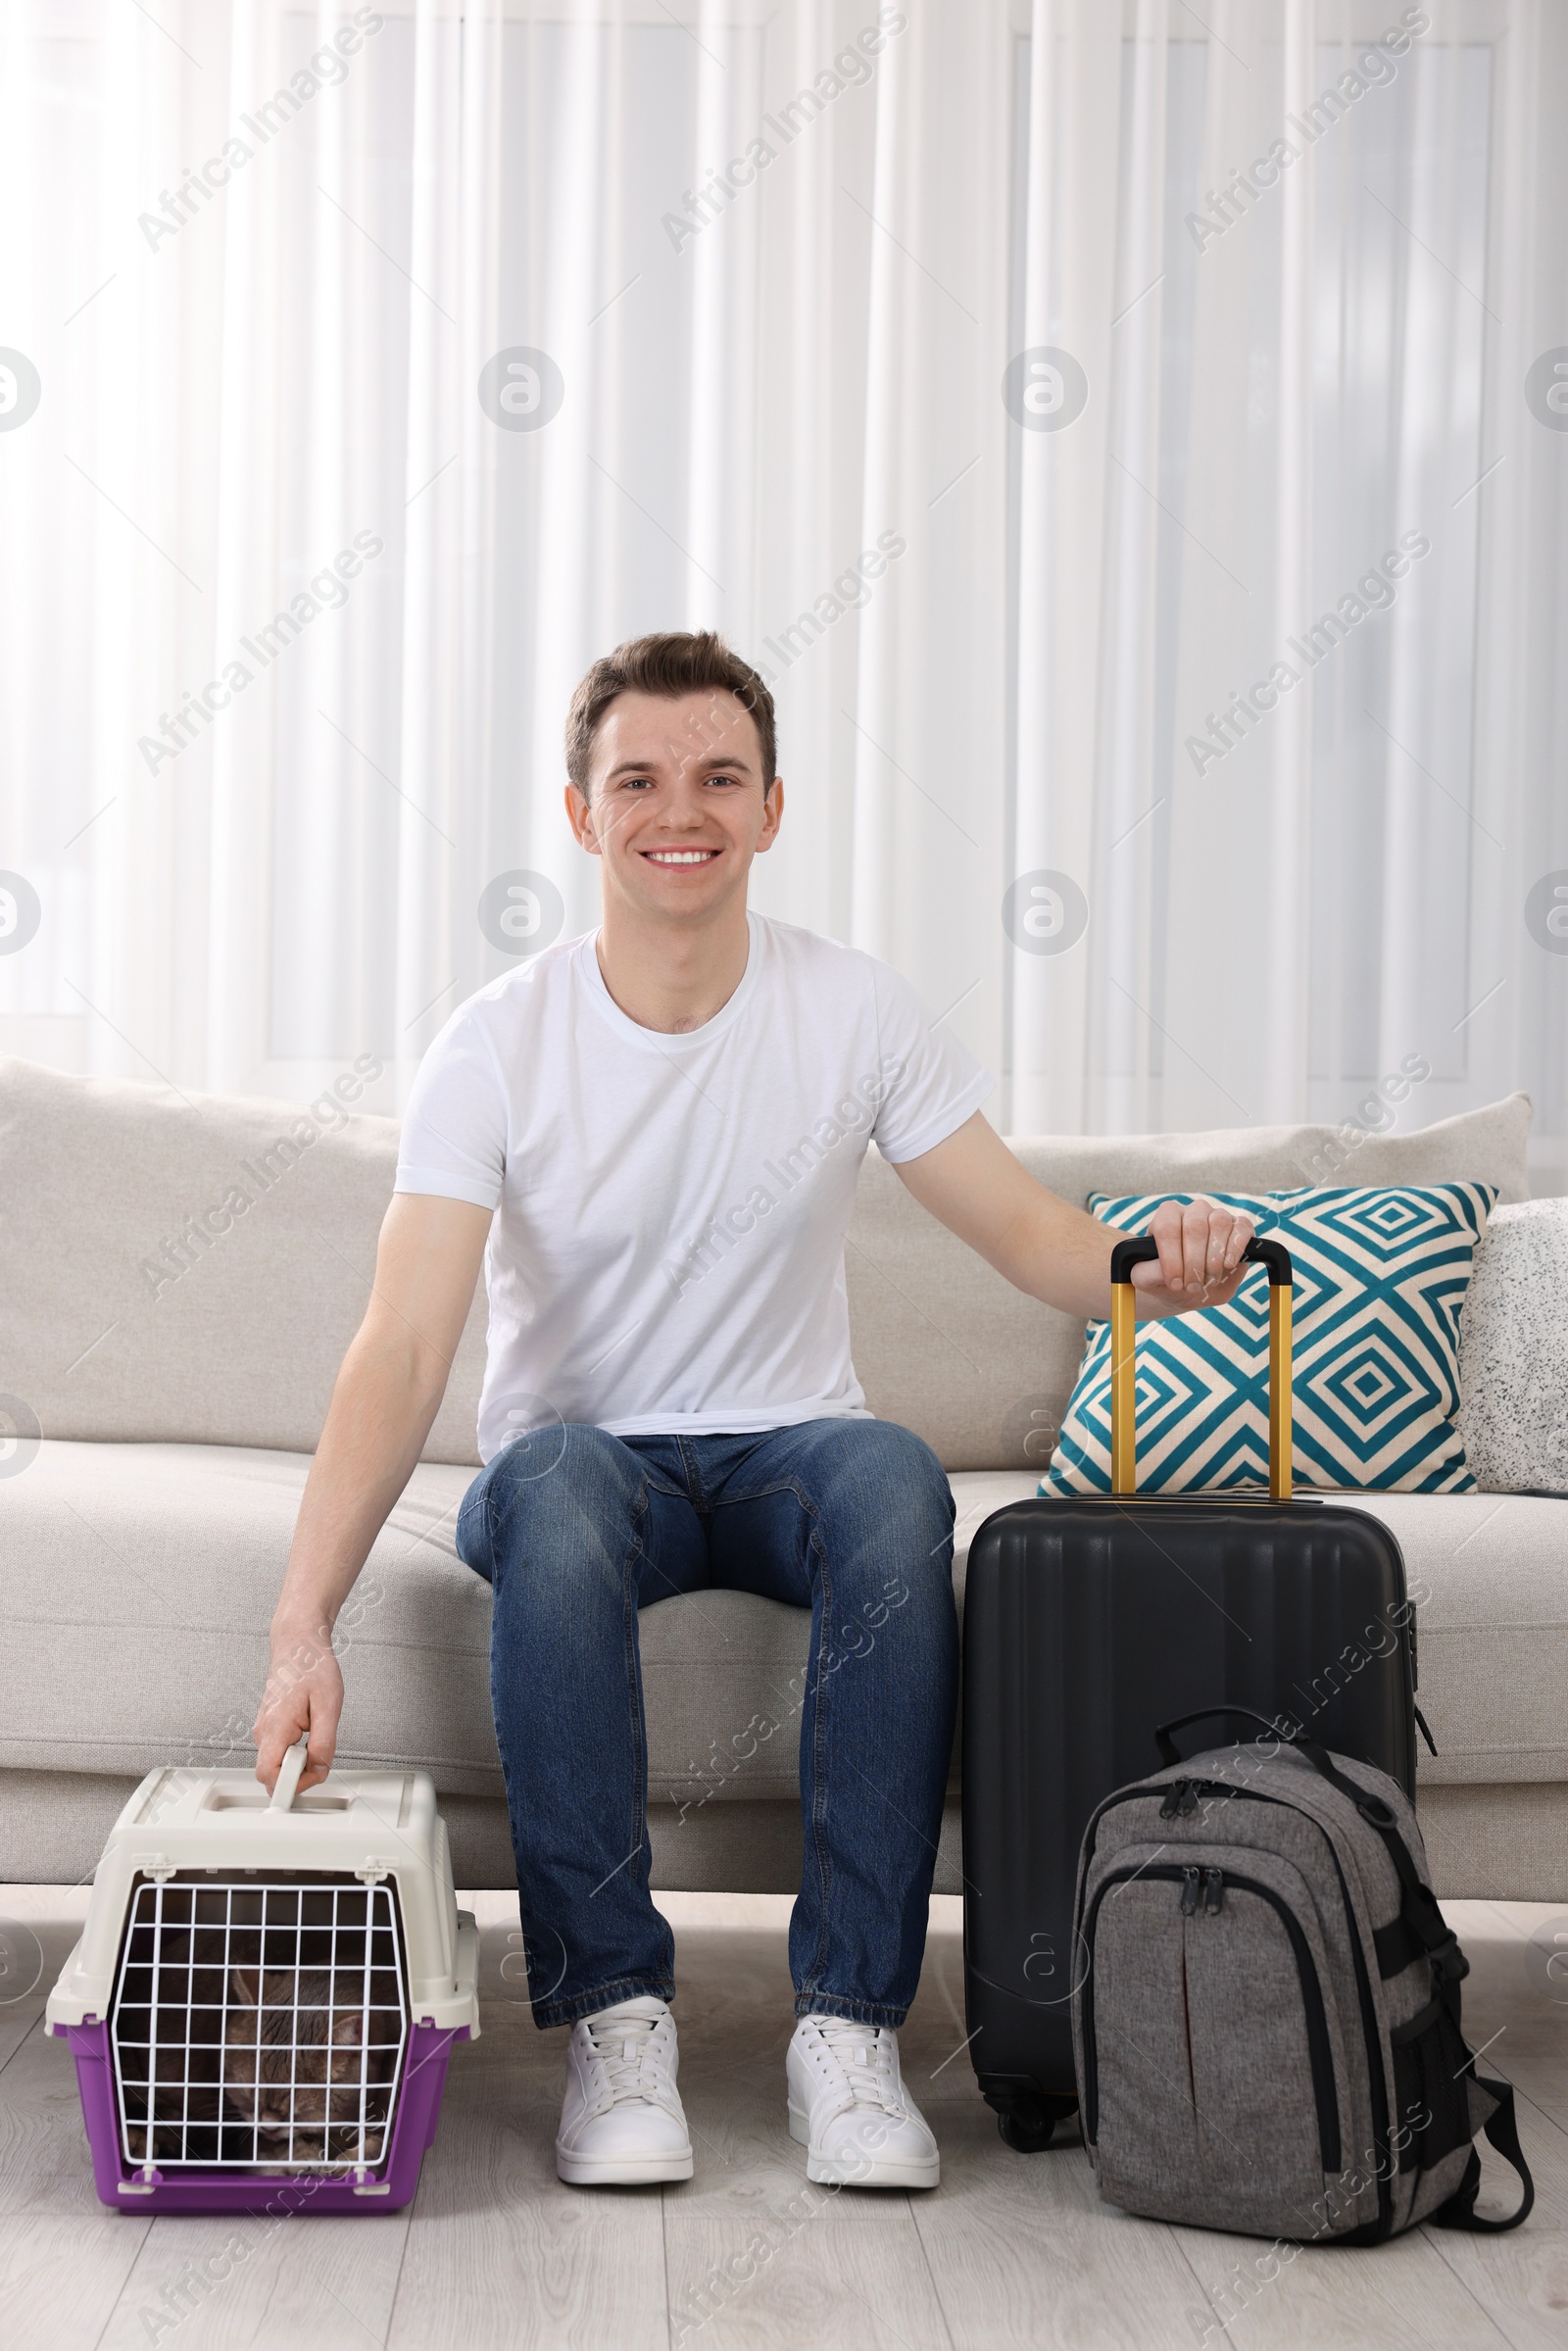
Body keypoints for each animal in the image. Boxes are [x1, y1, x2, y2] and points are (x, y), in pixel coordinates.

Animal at [49, 1739, 479, 2210]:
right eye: (247, 2090)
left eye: (296, 2105)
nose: (267, 2122)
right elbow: (262, 2150)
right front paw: (299, 2159)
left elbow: (375, 2139)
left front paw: (345, 2158)